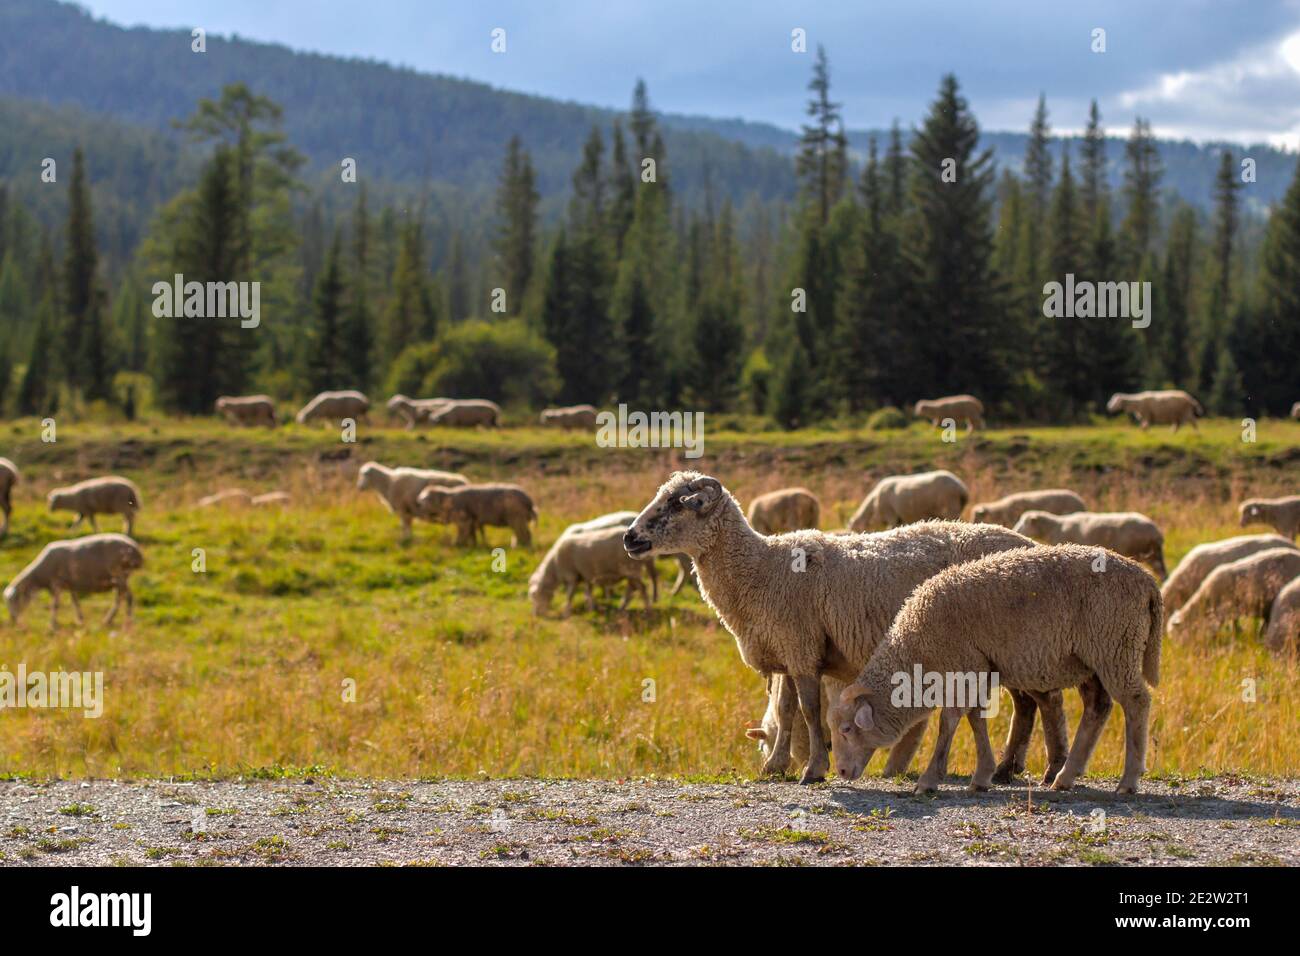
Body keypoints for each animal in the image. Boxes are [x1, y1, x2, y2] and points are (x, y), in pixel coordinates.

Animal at [5, 533, 145, 629]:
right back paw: (110, 619)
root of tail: (135, 549)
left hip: (120, 574)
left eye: (13, 600)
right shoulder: (70, 584)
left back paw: (124, 619)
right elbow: (75, 602)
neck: (38, 577)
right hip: (119, 578)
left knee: (127, 597)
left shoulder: (56, 583)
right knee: (121, 597)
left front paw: (53, 624)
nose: (12, 619)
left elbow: (55, 605)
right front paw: (80, 619)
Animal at [622, 472, 1050, 784]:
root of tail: (1029, 542)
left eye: (675, 504)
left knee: (1034, 702)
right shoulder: (786, 649)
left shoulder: (802, 645)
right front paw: (774, 766)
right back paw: (1012, 769)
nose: (629, 537)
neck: (760, 568)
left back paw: (1032, 769)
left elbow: (810, 711)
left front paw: (814, 769)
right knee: (1030, 703)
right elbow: (785, 710)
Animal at [832, 544, 1162, 794]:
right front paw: (982, 775)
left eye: (847, 729)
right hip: (1091, 658)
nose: (842, 771)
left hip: (1115, 646)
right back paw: (1064, 777)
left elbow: (949, 721)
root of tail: (1147, 581)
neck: (917, 650)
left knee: (1136, 702)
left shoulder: (961, 665)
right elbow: (976, 718)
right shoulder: (978, 668)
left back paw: (1128, 780)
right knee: (1097, 707)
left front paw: (929, 780)